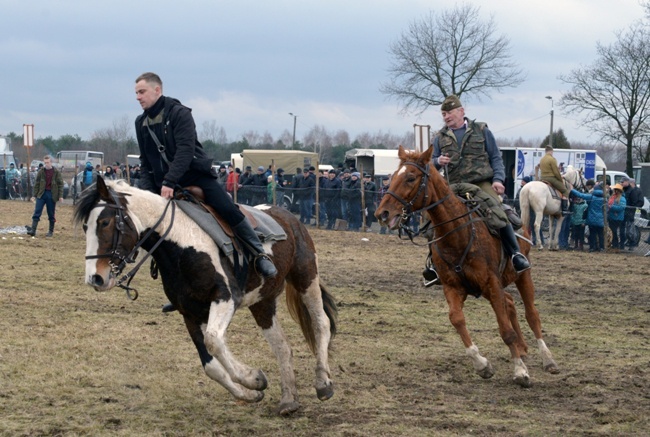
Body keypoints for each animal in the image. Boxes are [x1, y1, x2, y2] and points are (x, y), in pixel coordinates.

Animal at [374, 146, 556, 384]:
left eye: (411, 178)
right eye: (393, 176)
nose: (382, 214)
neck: (458, 235)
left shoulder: (491, 284)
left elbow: (505, 330)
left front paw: (520, 371)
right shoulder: (453, 287)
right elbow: (457, 319)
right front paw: (482, 364)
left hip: (522, 275)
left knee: (531, 314)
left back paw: (547, 359)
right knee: (509, 303)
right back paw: (522, 347)